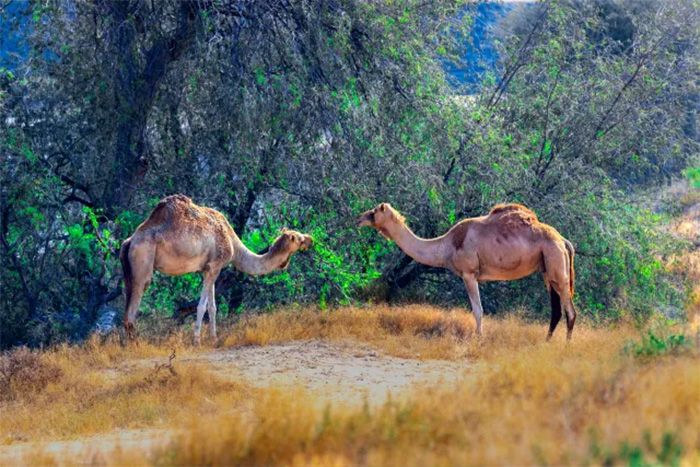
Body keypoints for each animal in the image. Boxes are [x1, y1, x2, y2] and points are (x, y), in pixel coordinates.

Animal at [119, 194, 313, 344]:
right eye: (299, 238)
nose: (311, 239)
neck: (233, 243)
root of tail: (130, 241)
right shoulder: (215, 266)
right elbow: (202, 306)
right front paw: (197, 341)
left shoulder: (207, 269)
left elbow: (212, 307)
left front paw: (214, 339)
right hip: (143, 263)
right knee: (133, 309)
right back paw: (136, 346)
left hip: (129, 271)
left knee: (126, 309)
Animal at [357, 203, 577, 340]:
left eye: (374, 212)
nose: (358, 218)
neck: (446, 245)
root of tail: (564, 241)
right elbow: (478, 309)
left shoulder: (469, 273)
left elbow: (478, 310)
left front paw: (478, 339)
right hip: (547, 270)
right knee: (556, 310)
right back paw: (546, 343)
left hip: (556, 264)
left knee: (570, 311)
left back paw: (565, 347)